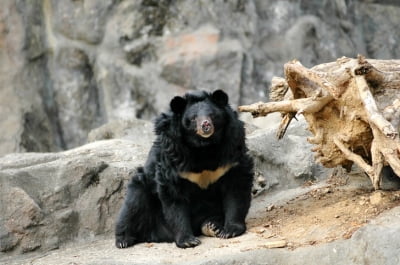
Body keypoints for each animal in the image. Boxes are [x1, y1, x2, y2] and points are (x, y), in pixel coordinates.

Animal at [115, 89, 253, 248]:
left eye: (212, 115)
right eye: (193, 118)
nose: (205, 125)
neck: (204, 146)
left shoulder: (231, 150)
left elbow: (236, 187)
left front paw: (230, 230)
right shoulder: (174, 154)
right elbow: (174, 196)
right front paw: (188, 241)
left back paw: (212, 226)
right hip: (143, 186)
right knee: (132, 205)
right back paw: (123, 240)